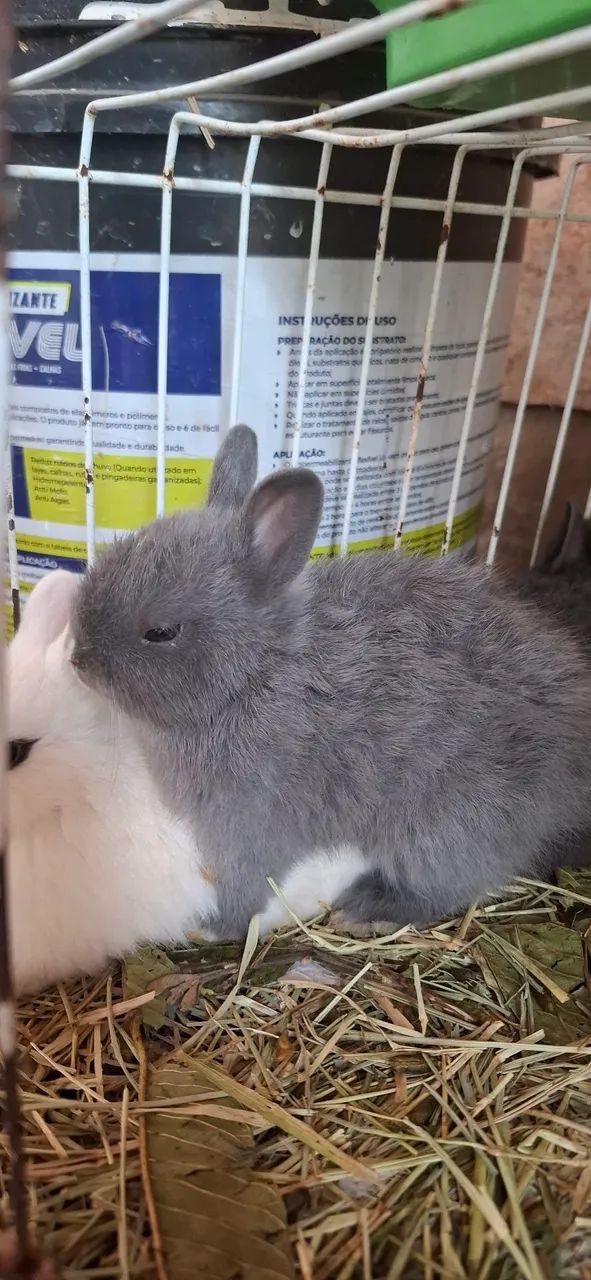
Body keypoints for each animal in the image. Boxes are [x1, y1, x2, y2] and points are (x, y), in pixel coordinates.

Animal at [70, 425, 591, 938]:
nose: (77, 660)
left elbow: (247, 882)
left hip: (449, 828)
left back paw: (366, 910)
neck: (256, 672)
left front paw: (215, 927)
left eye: (162, 632)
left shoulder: (247, 820)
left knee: (447, 884)